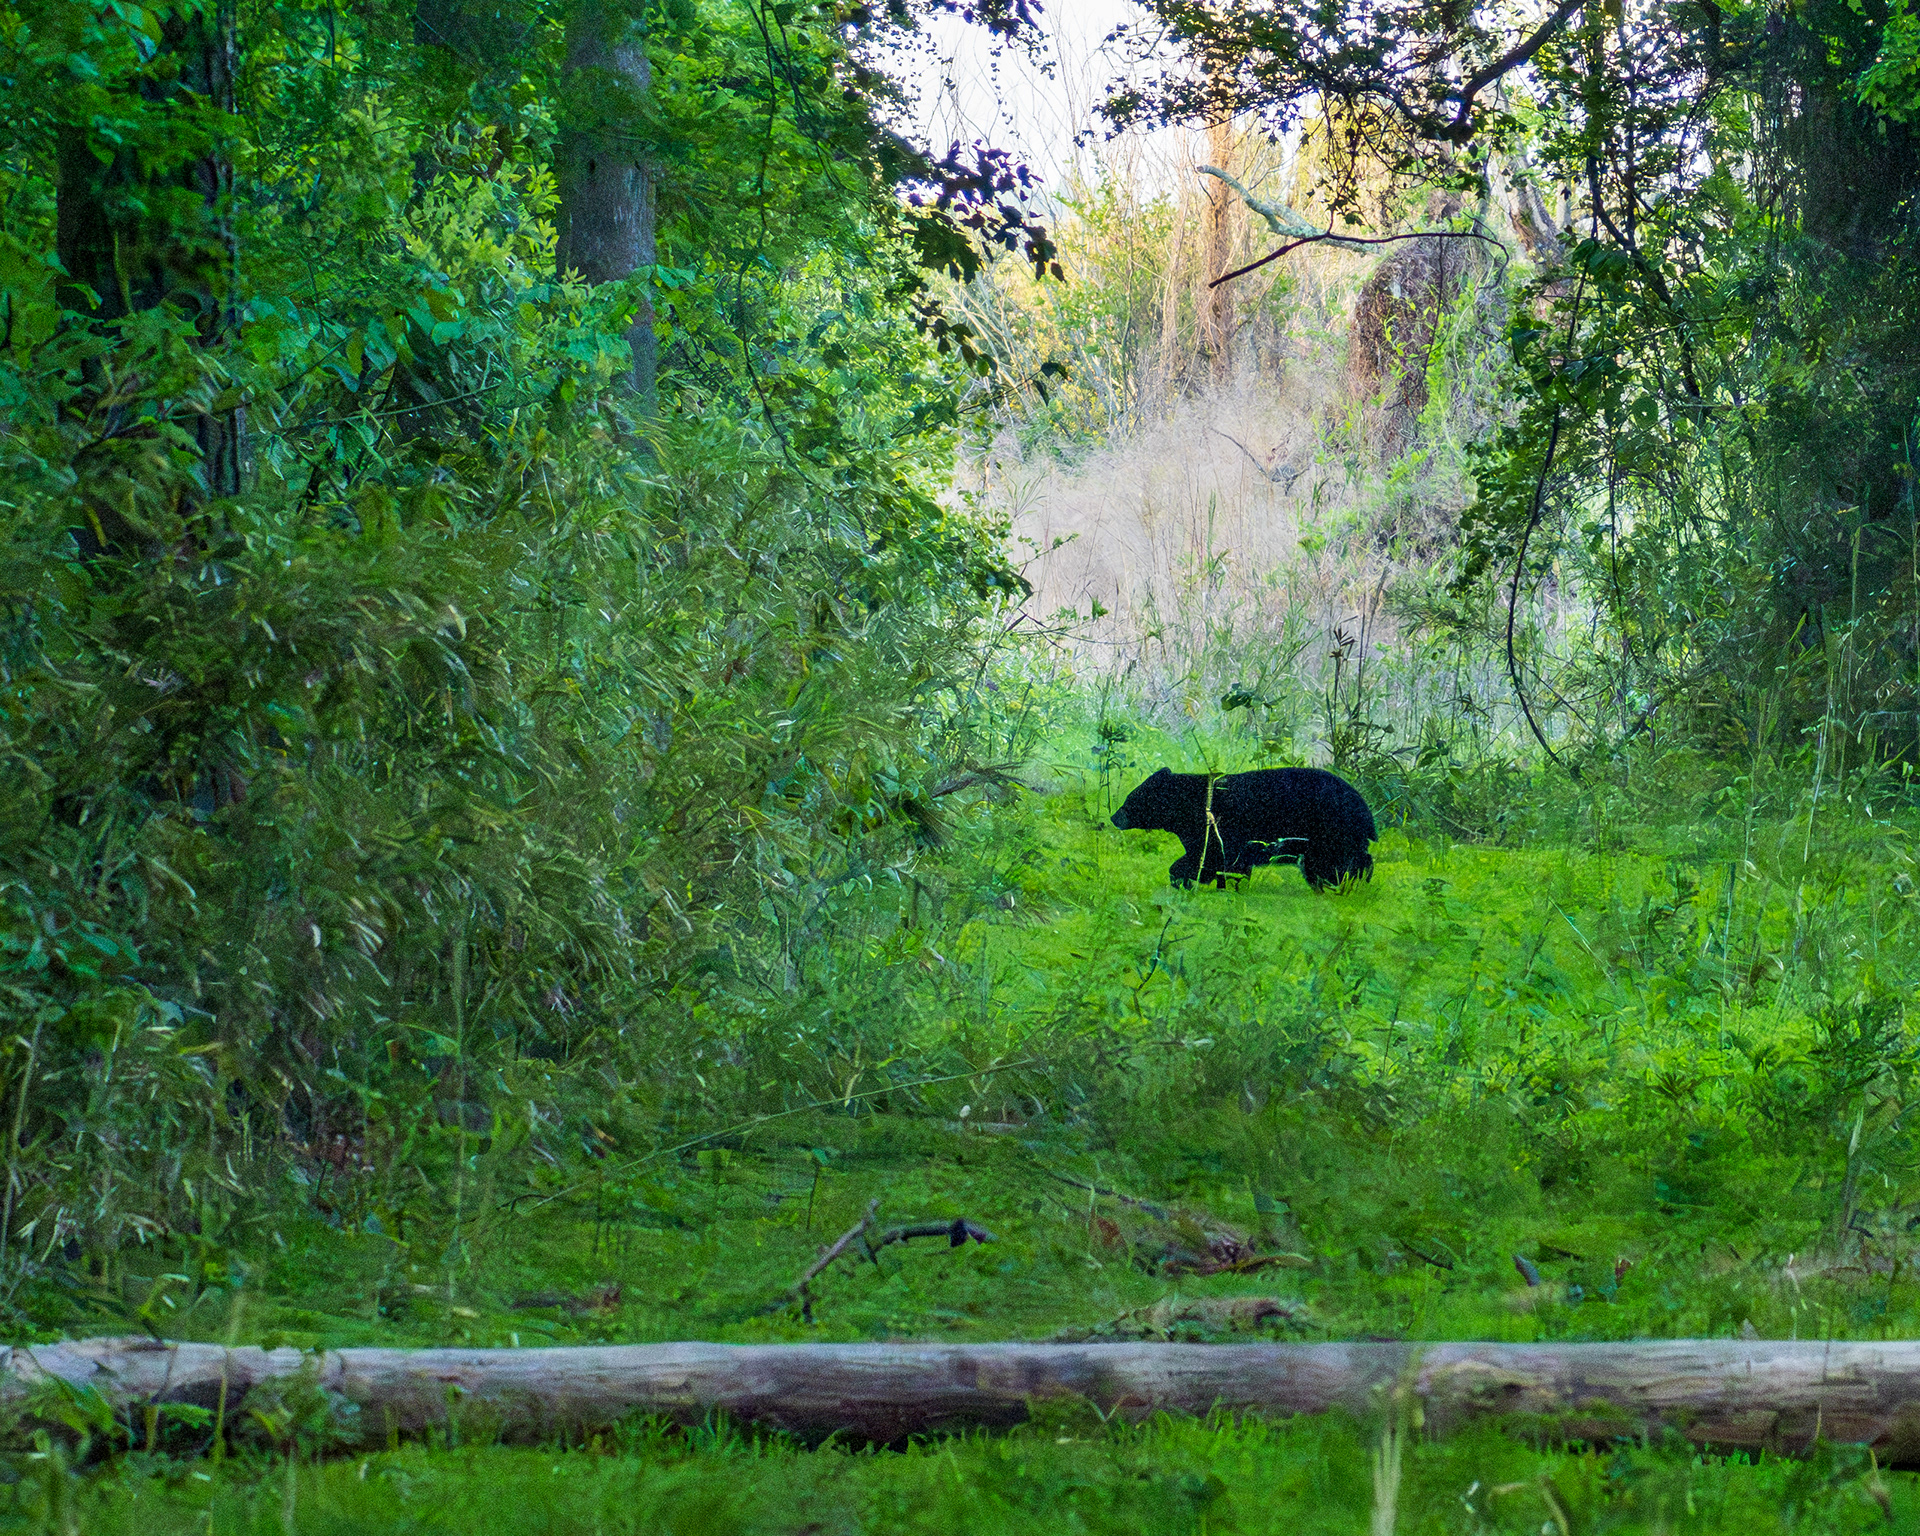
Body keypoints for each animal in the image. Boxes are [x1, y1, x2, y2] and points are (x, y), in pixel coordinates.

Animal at [1110, 766, 1376, 891]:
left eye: (1131, 799)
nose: (1114, 817)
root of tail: (1364, 808)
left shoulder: (1222, 829)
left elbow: (1214, 858)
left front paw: (1183, 878)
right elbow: (1205, 858)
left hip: (1331, 829)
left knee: (1335, 862)